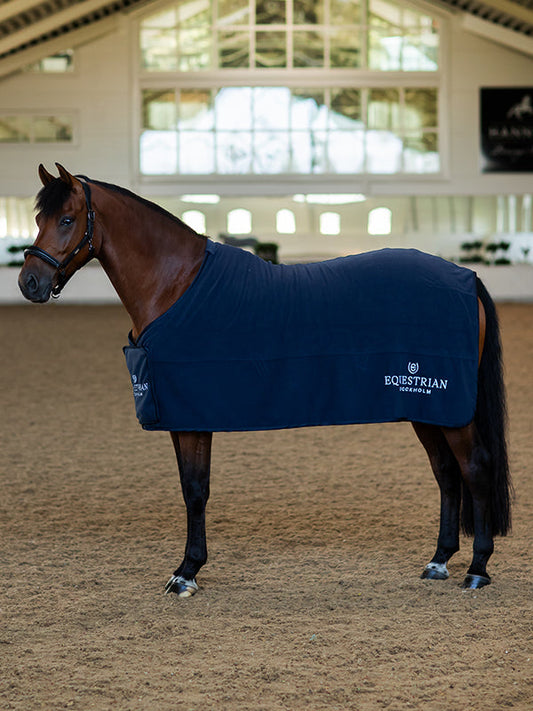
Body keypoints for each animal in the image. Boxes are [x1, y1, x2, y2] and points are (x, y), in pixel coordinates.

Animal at [18, 163, 512, 597]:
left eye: (67, 219)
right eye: (39, 217)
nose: (29, 283)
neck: (176, 285)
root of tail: (466, 276)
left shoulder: (194, 416)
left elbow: (196, 491)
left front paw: (186, 573)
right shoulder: (182, 415)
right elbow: (189, 488)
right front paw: (188, 568)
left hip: (449, 408)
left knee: (474, 468)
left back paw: (477, 569)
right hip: (426, 406)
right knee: (446, 473)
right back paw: (439, 561)